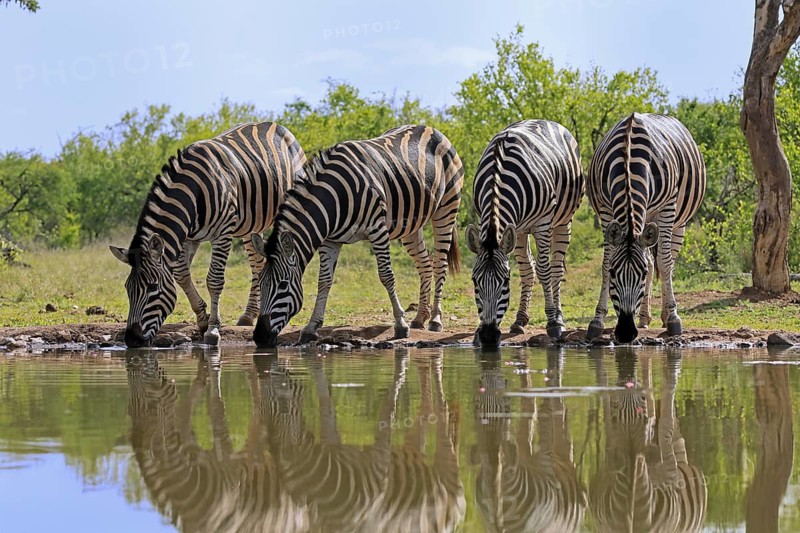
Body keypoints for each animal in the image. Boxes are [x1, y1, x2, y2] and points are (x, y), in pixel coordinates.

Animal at [110, 121, 306, 347]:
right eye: (128, 289)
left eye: (152, 288)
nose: (132, 340)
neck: (192, 193)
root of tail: (274, 124)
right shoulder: (187, 238)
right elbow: (181, 275)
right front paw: (203, 320)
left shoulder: (223, 233)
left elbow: (214, 280)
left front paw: (213, 329)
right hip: (251, 225)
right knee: (257, 264)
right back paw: (249, 315)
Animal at [250, 125, 464, 348]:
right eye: (260, 283)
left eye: (282, 286)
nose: (260, 337)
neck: (335, 199)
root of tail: (429, 128)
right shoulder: (330, 241)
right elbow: (324, 281)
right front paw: (311, 327)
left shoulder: (378, 229)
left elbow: (386, 275)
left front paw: (400, 324)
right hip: (412, 224)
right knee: (425, 265)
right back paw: (420, 318)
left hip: (446, 209)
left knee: (439, 264)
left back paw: (435, 320)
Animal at [465, 120, 584, 348]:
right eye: (475, 281)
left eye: (505, 281)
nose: (488, 337)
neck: (499, 172)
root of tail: (547, 121)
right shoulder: (508, 224)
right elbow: (528, 271)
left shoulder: (543, 223)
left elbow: (544, 271)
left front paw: (553, 322)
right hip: (520, 231)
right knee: (528, 269)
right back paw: (520, 320)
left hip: (564, 220)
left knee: (556, 268)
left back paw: (558, 317)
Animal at [586, 113, 706, 343]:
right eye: (614, 273)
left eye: (640, 274)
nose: (625, 333)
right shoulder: (605, 211)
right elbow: (605, 263)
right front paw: (597, 320)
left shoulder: (667, 208)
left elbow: (664, 264)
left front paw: (674, 319)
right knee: (651, 260)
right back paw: (643, 317)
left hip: (679, 222)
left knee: (667, 261)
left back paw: (666, 315)